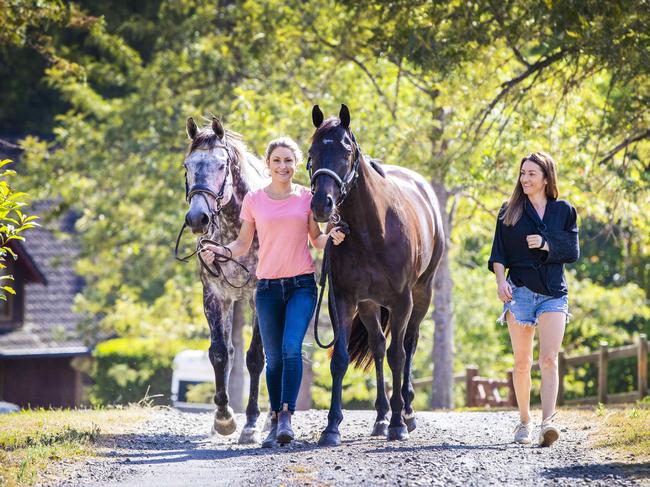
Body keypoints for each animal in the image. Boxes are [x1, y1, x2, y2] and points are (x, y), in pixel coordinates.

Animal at [182, 116, 266, 444]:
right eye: (187, 166)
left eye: (221, 165)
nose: (197, 219)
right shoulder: (216, 295)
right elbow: (220, 353)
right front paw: (224, 418)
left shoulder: (259, 297)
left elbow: (255, 357)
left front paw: (251, 423)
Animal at [308, 106, 440, 446]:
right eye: (312, 152)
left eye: (346, 151)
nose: (322, 205)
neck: (372, 229)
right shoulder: (343, 299)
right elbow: (340, 359)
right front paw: (332, 427)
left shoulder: (401, 302)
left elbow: (398, 355)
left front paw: (398, 424)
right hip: (368, 305)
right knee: (379, 346)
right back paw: (380, 417)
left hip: (422, 295)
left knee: (408, 345)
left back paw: (406, 413)